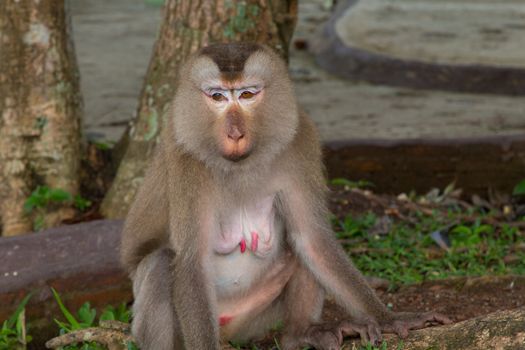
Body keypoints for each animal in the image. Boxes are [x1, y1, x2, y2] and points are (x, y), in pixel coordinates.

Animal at [119, 41, 450, 350]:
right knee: (160, 264)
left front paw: (390, 319)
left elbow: (312, 239)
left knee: (300, 246)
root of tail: (228, 331)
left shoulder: (300, 139)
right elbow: (190, 262)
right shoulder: (184, 159)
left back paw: (301, 333)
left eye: (247, 95)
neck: (241, 164)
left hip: (253, 318)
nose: (235, 133)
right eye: (217, 97)